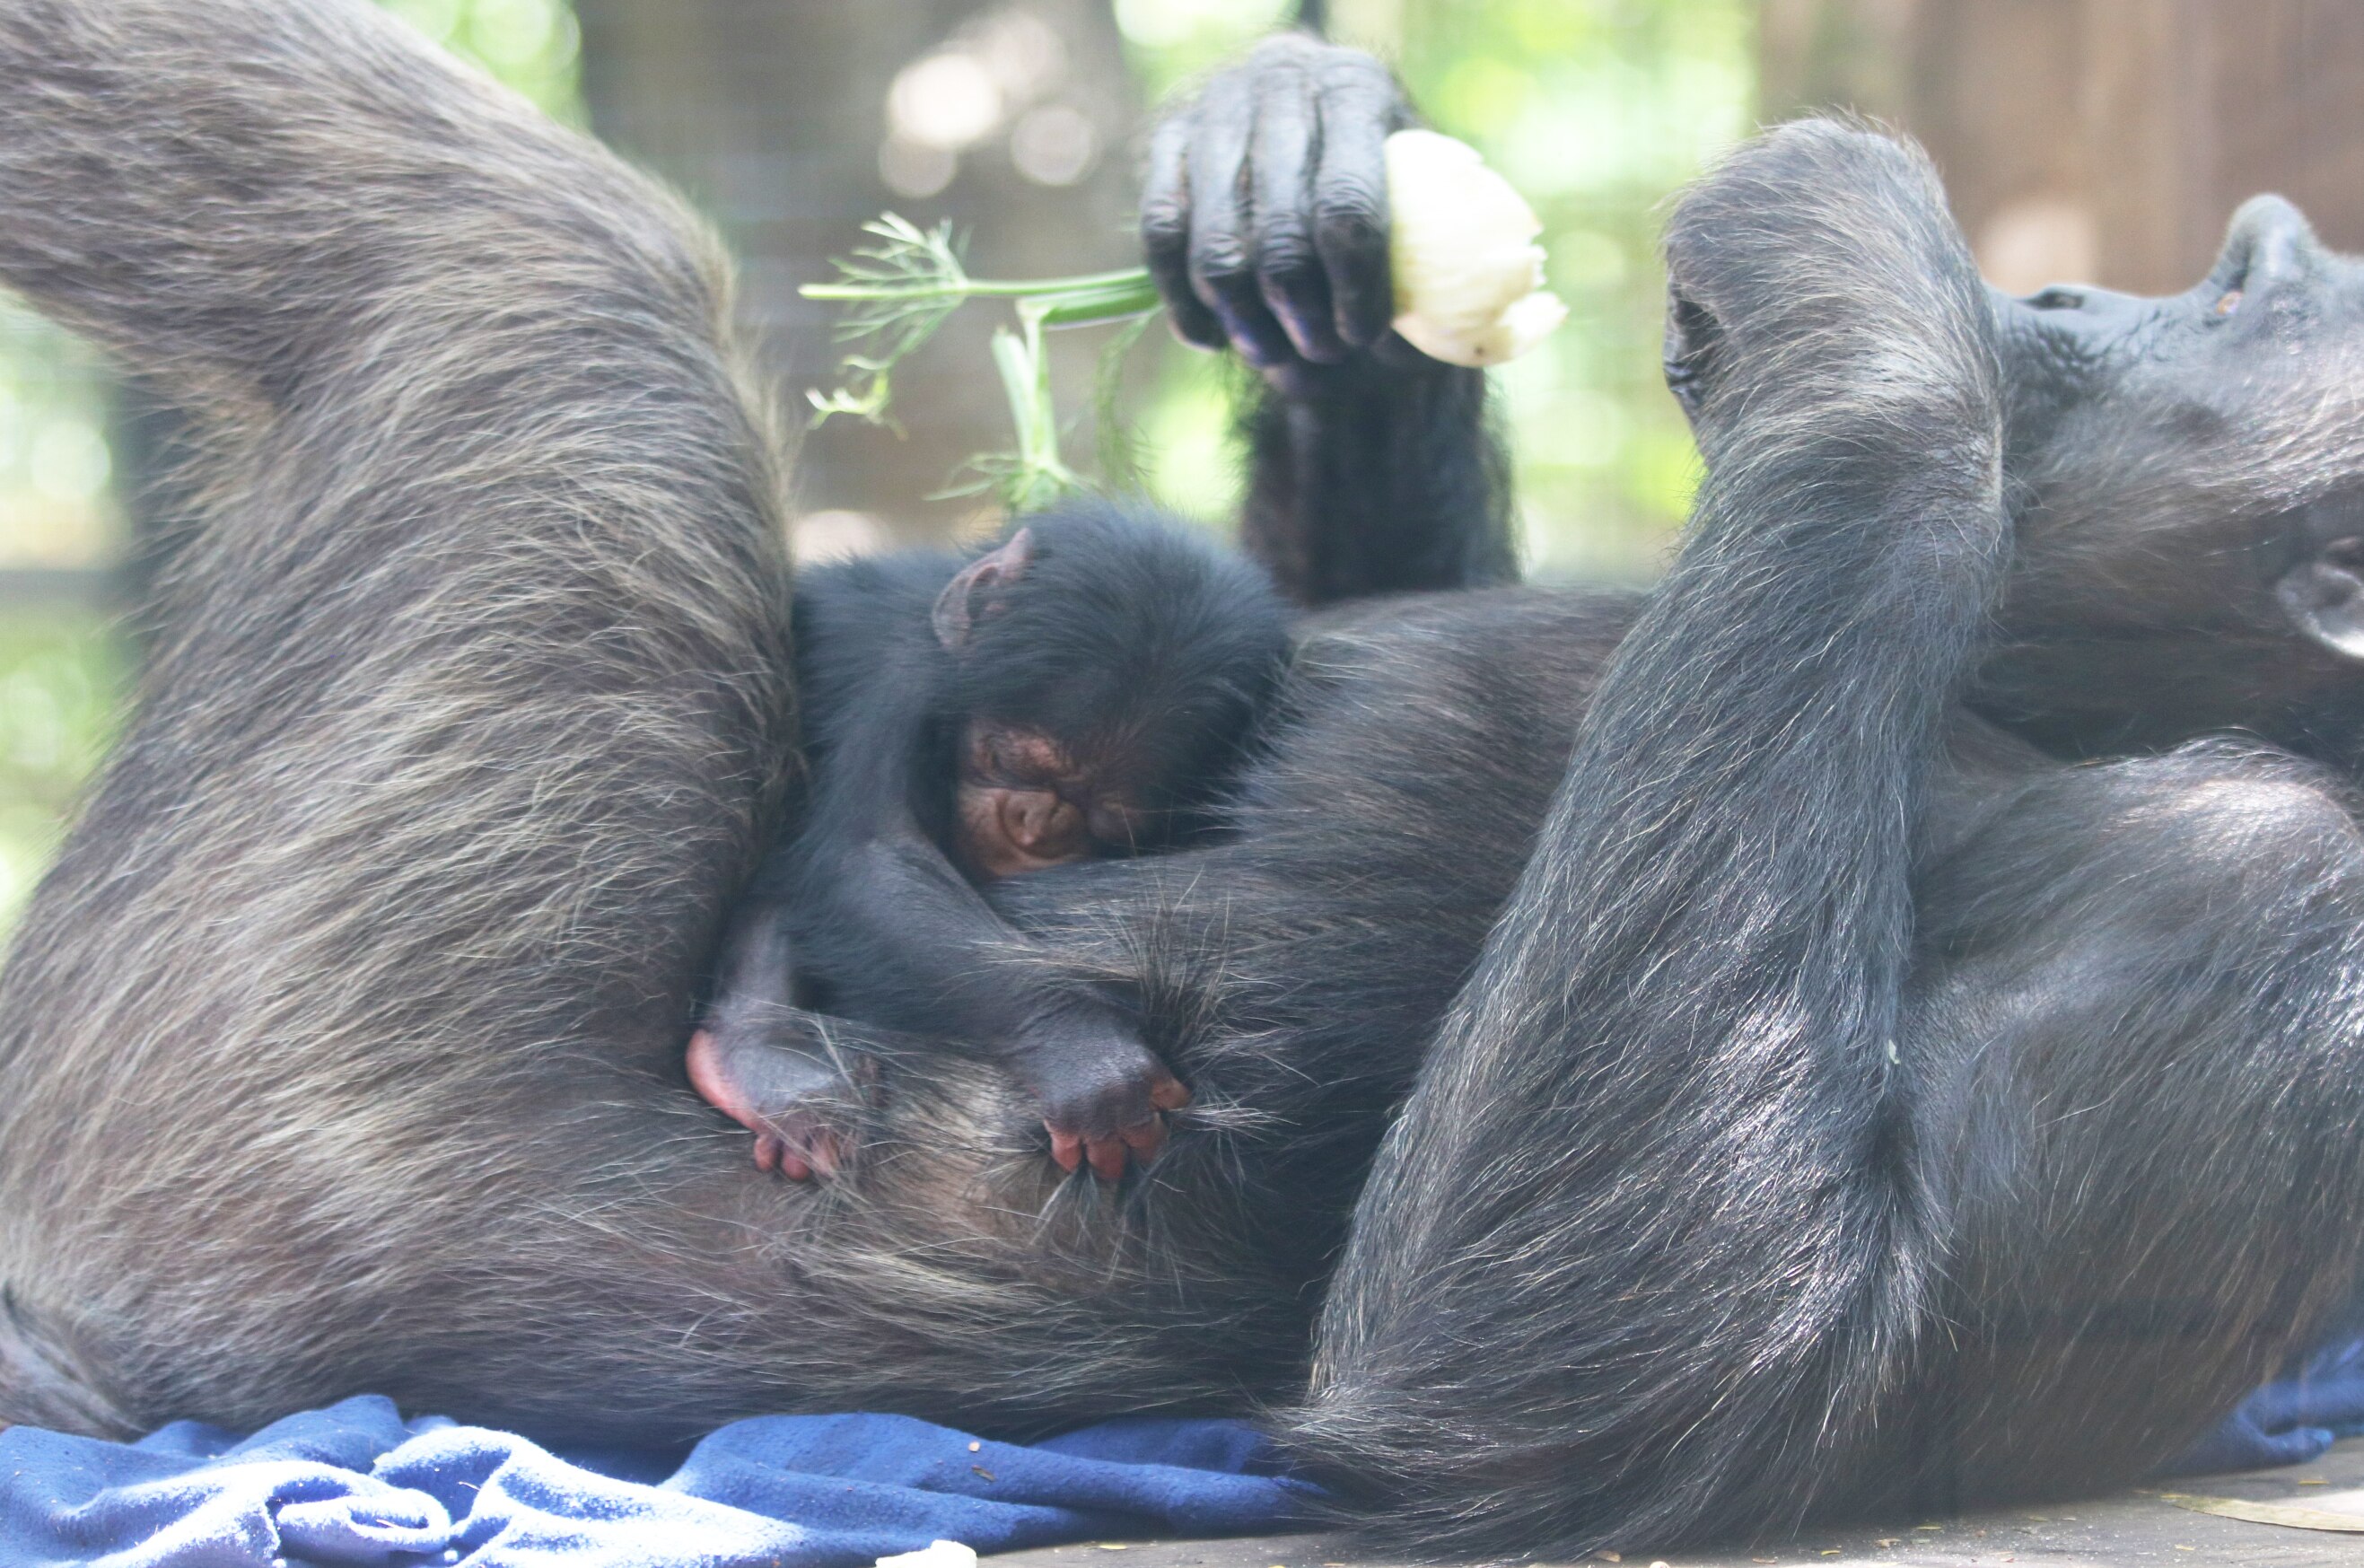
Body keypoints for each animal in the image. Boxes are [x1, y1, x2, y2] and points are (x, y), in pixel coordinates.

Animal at [687, 503, 1291, 1183]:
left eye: (1108, 822)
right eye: (1006, 760)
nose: (1034, 823)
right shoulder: (904, 675)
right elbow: (875, 857)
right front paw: (1082, 1049)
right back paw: (767, 1053)